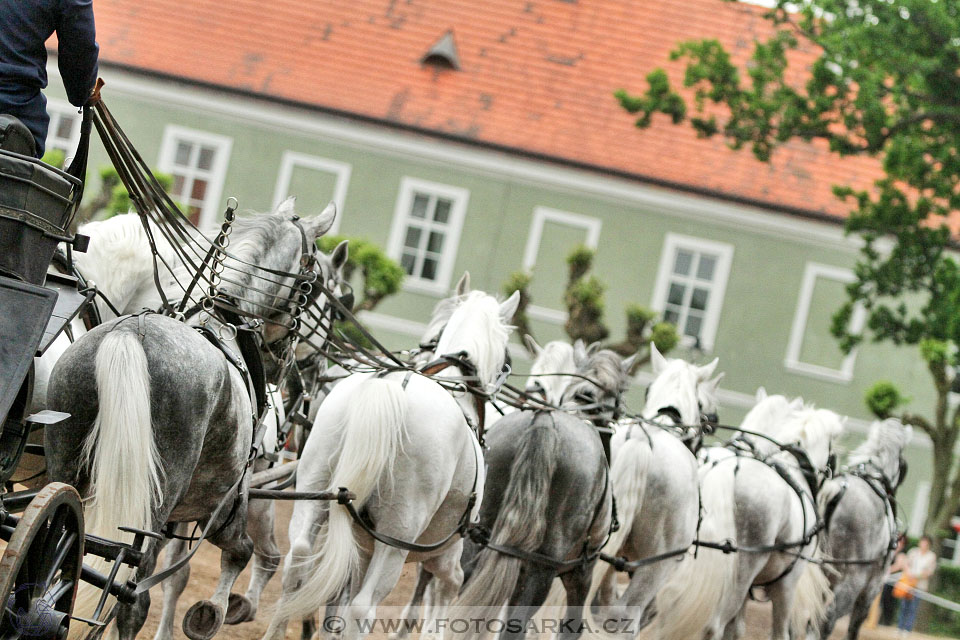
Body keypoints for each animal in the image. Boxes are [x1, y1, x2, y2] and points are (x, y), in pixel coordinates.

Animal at [46, 205, 338, 640]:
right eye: (313, 283)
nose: (287, 362)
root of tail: (132, 334)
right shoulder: (226, 506)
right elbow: (239, 552)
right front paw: (212, 611)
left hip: (69, 469)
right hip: (156, 502)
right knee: (129, 594)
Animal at [656, 396, 844, 640]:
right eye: (833, 452)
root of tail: (726, 467)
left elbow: (736, 630)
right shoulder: (787, 583)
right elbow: (779, 632)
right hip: (742, 572)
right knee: (713, 625)